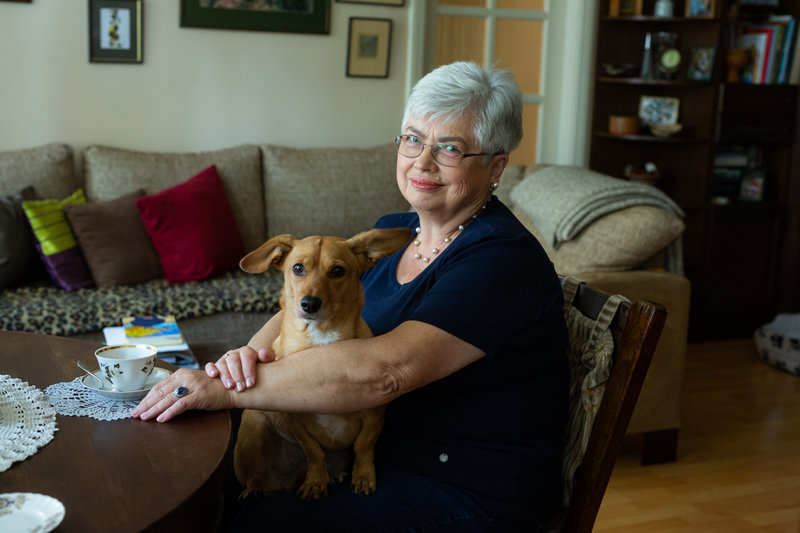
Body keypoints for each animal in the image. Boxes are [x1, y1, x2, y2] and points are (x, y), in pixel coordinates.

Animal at [230, 227, 406, 500]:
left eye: (338, 271)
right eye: (298, 268)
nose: (309, 304)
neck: (322, 338)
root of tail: (281, 483)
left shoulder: (375, 414)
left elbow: (363, 446)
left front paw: (363, 476)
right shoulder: (297, 422)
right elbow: (314, 452)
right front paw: (315, 480)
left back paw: (336, 475)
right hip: (254, 423)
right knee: (255, 475)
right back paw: (254, 490)